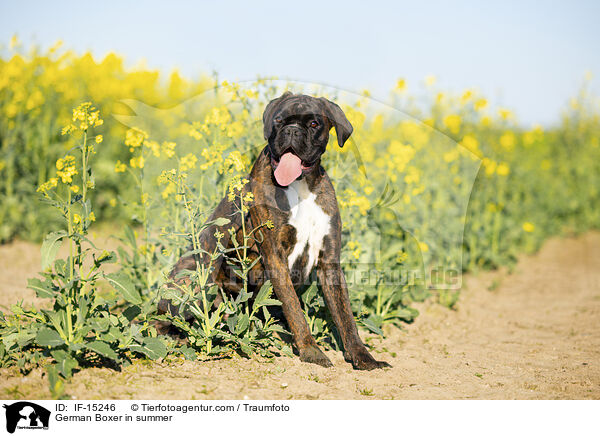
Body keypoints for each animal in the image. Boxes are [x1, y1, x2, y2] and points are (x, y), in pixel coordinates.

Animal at [159, 93, 392, 372]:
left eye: (314, 123)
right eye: (279, 120)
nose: (291, 130)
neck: (301, 186)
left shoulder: (330, 262)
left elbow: (345, 317)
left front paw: (363, 357)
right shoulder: (276, 258)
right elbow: (295, 309)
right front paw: (311, 351)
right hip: (195, 272)